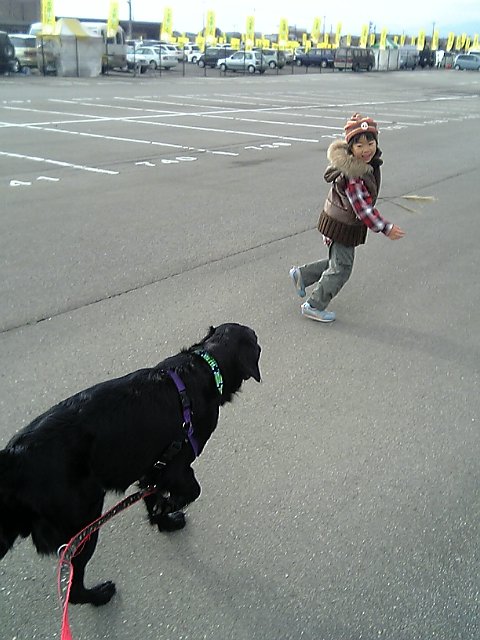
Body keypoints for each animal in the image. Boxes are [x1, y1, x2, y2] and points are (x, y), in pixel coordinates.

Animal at [0, 323, 261, 606]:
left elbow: (151, 496)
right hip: (83, 521)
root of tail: (14, 457)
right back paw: (100, 595)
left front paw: (163, 521)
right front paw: (167, 508)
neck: (205, 367)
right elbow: (190, 491)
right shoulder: (176, 468)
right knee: (74, 586)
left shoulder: (153, 468)